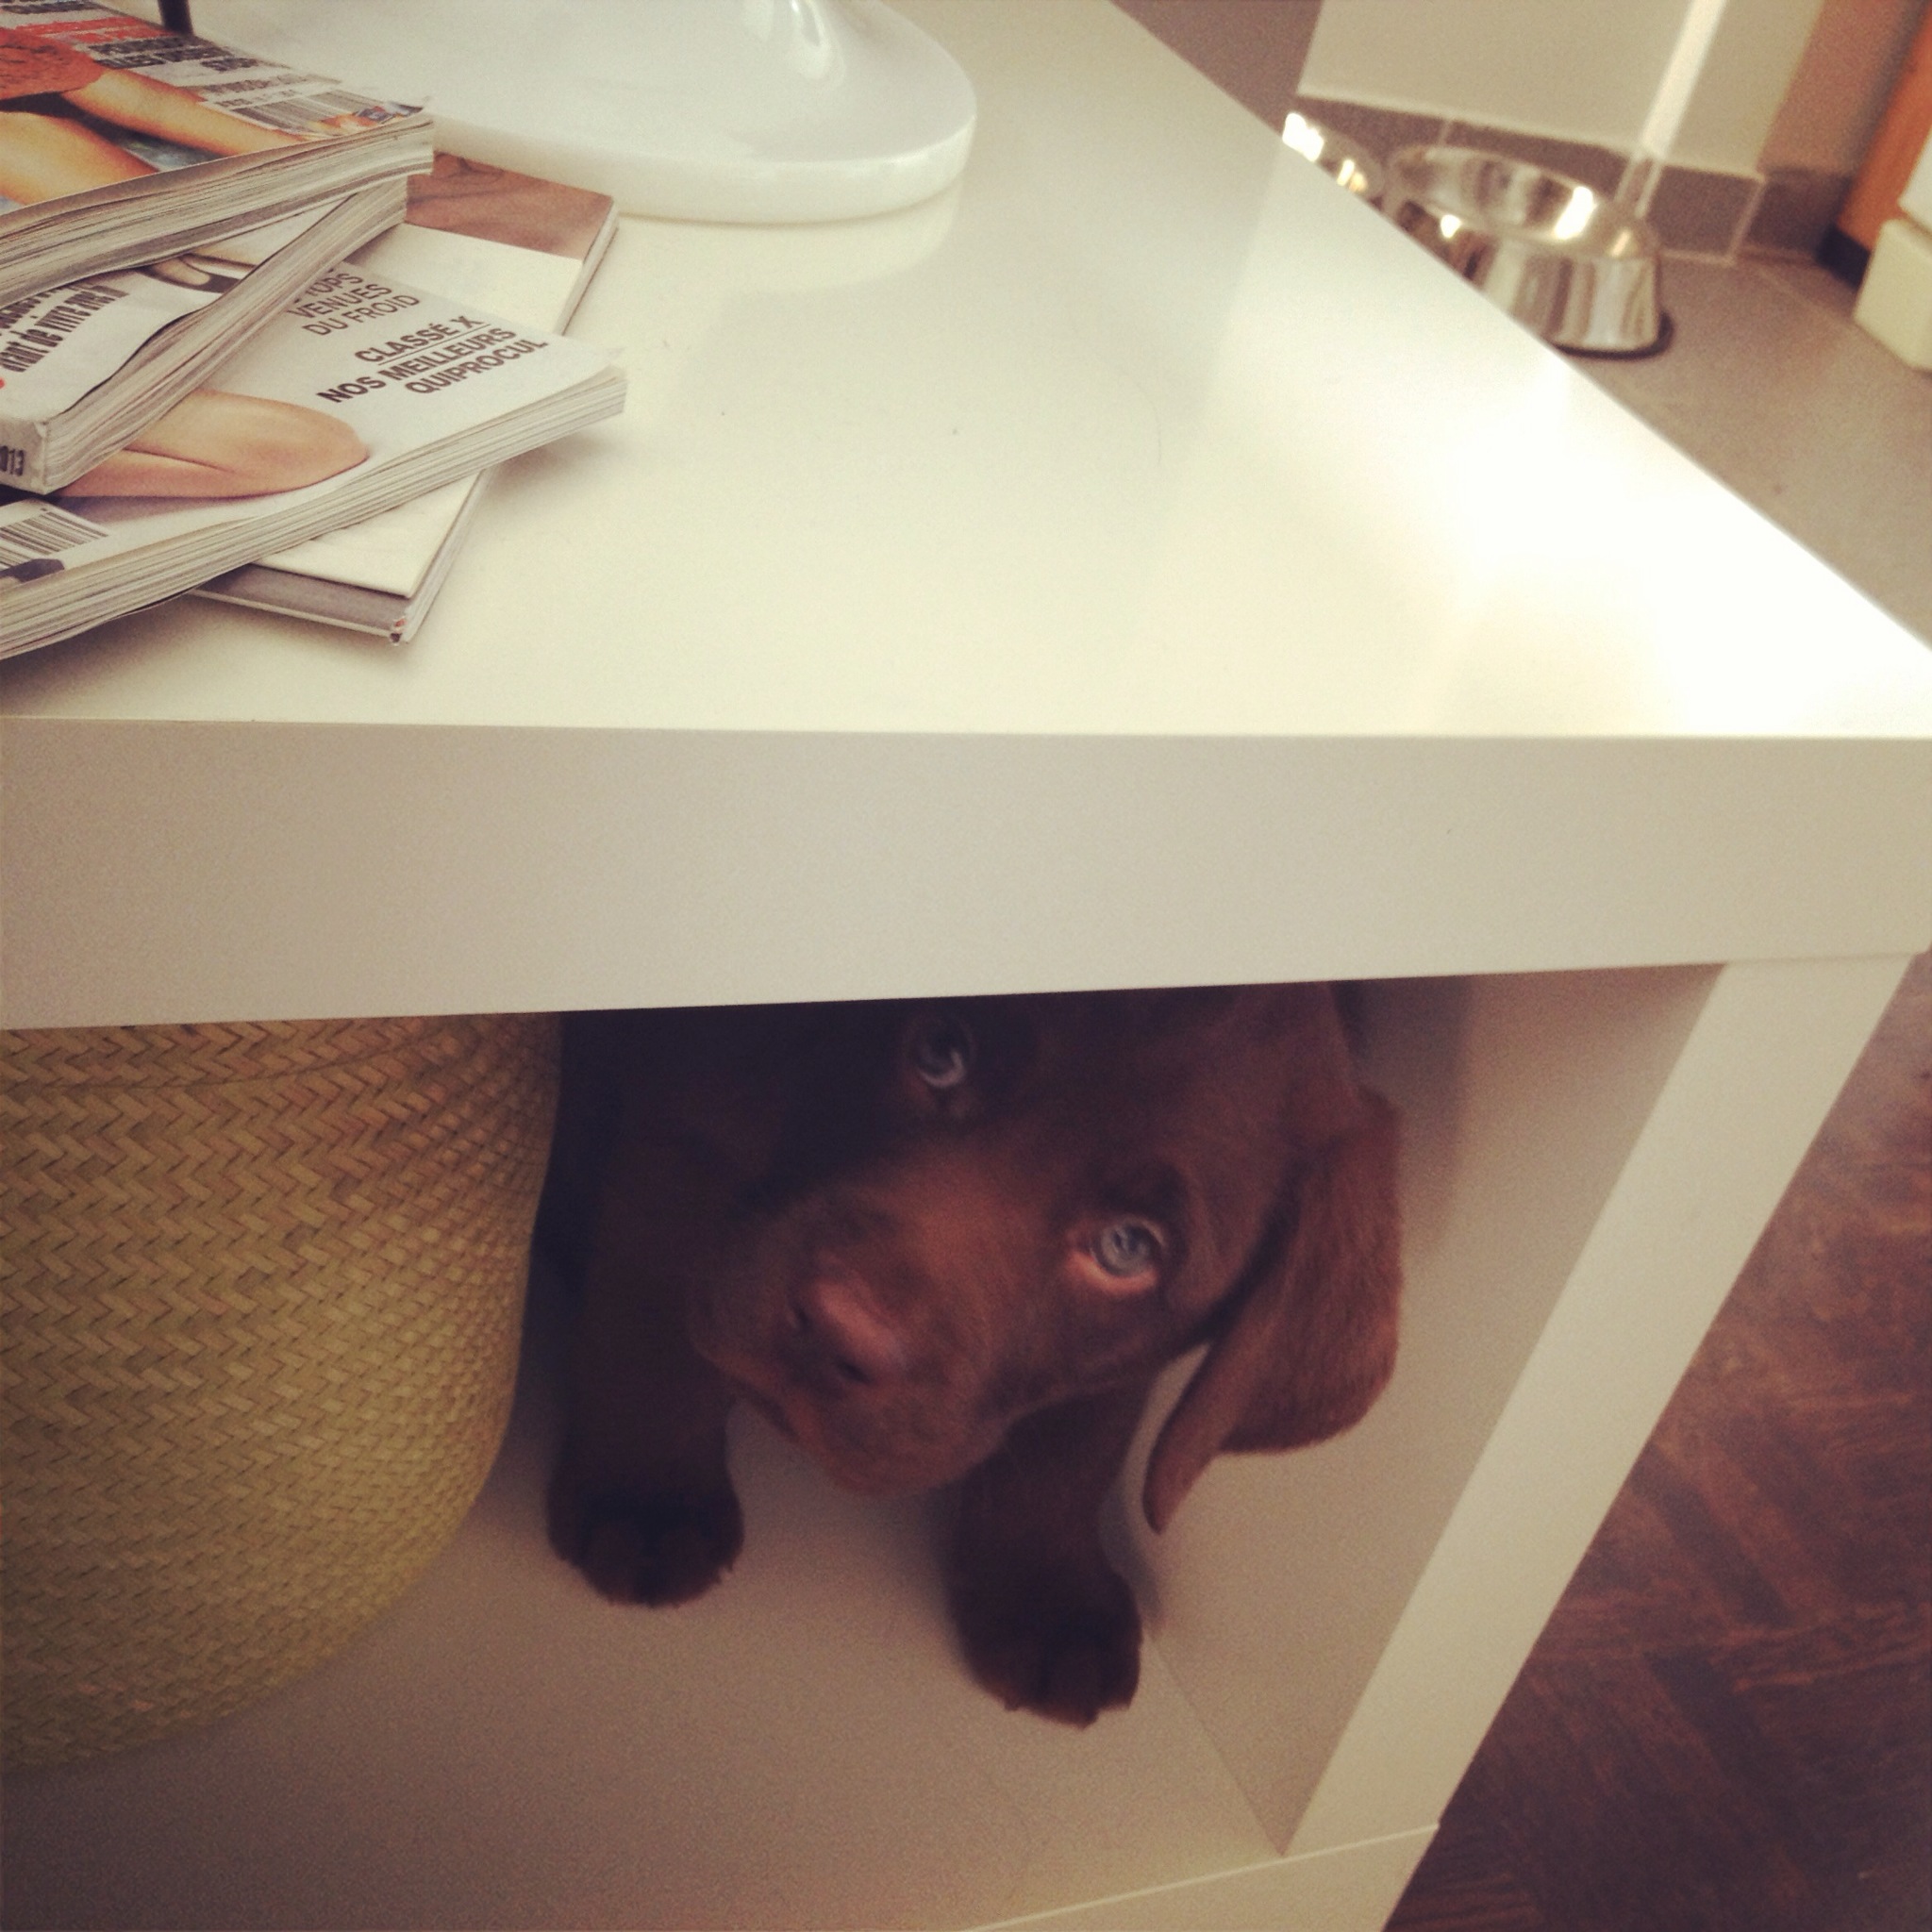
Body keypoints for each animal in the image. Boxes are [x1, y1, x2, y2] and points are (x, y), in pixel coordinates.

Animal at [540, 984, 1400, 1727]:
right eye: (941, 1050)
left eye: (1127, 1247)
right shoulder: (691, 1116)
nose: (835, 1331)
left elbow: (1074, 1445)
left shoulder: (1112, 1370)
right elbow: (649, 1321)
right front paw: (649, 1499)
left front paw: (1045, 1599)